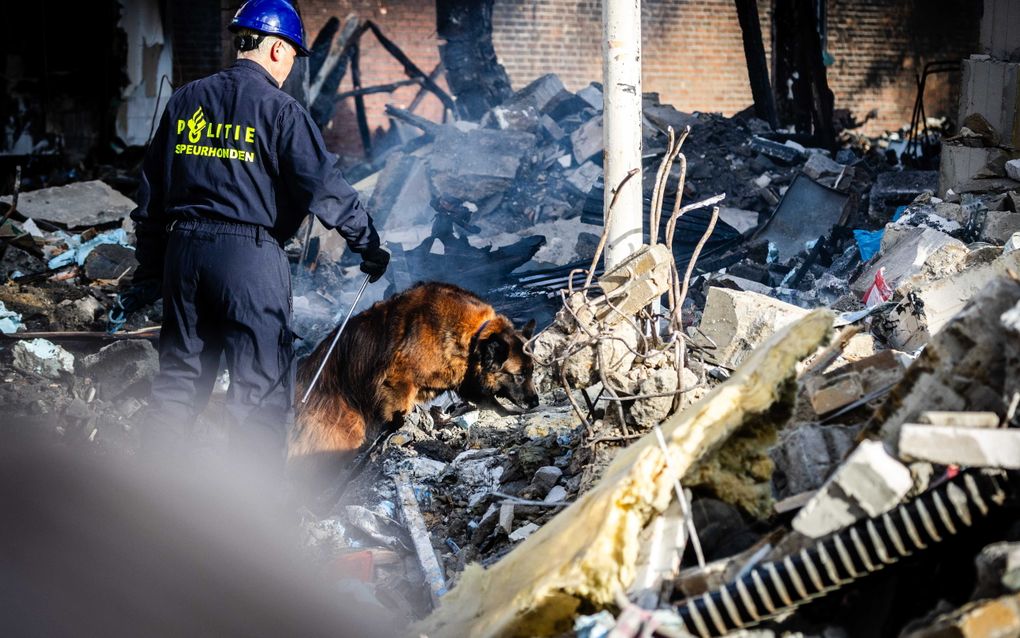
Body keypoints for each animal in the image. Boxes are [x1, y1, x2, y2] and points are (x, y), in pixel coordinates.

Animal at [289, 283, 542, 463]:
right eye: (519, 375)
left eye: (532, 371)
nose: (535, 402)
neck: (472, 337)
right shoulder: (397, 382)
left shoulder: (466, 379)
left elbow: (488, 400)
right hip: (345, 429)